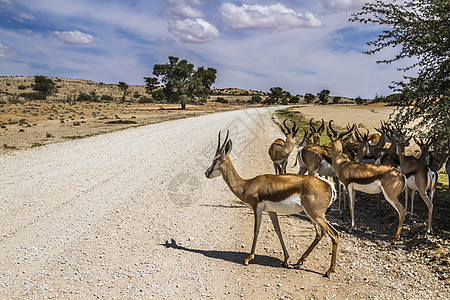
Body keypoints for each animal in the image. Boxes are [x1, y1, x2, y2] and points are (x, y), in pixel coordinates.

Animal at [206, 131, 340, 276]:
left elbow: (256, 230)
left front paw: (248, 258)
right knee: (320, 234)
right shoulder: (271, 210)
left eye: (215, 161)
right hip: (312, 215)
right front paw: (286, 259)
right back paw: (299, 261)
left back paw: (329, 271)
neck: (248, 185)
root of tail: (329, 185)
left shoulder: (257, 208)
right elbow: (278, 230)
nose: (206, 173)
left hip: (315, 214)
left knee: (334, 234)